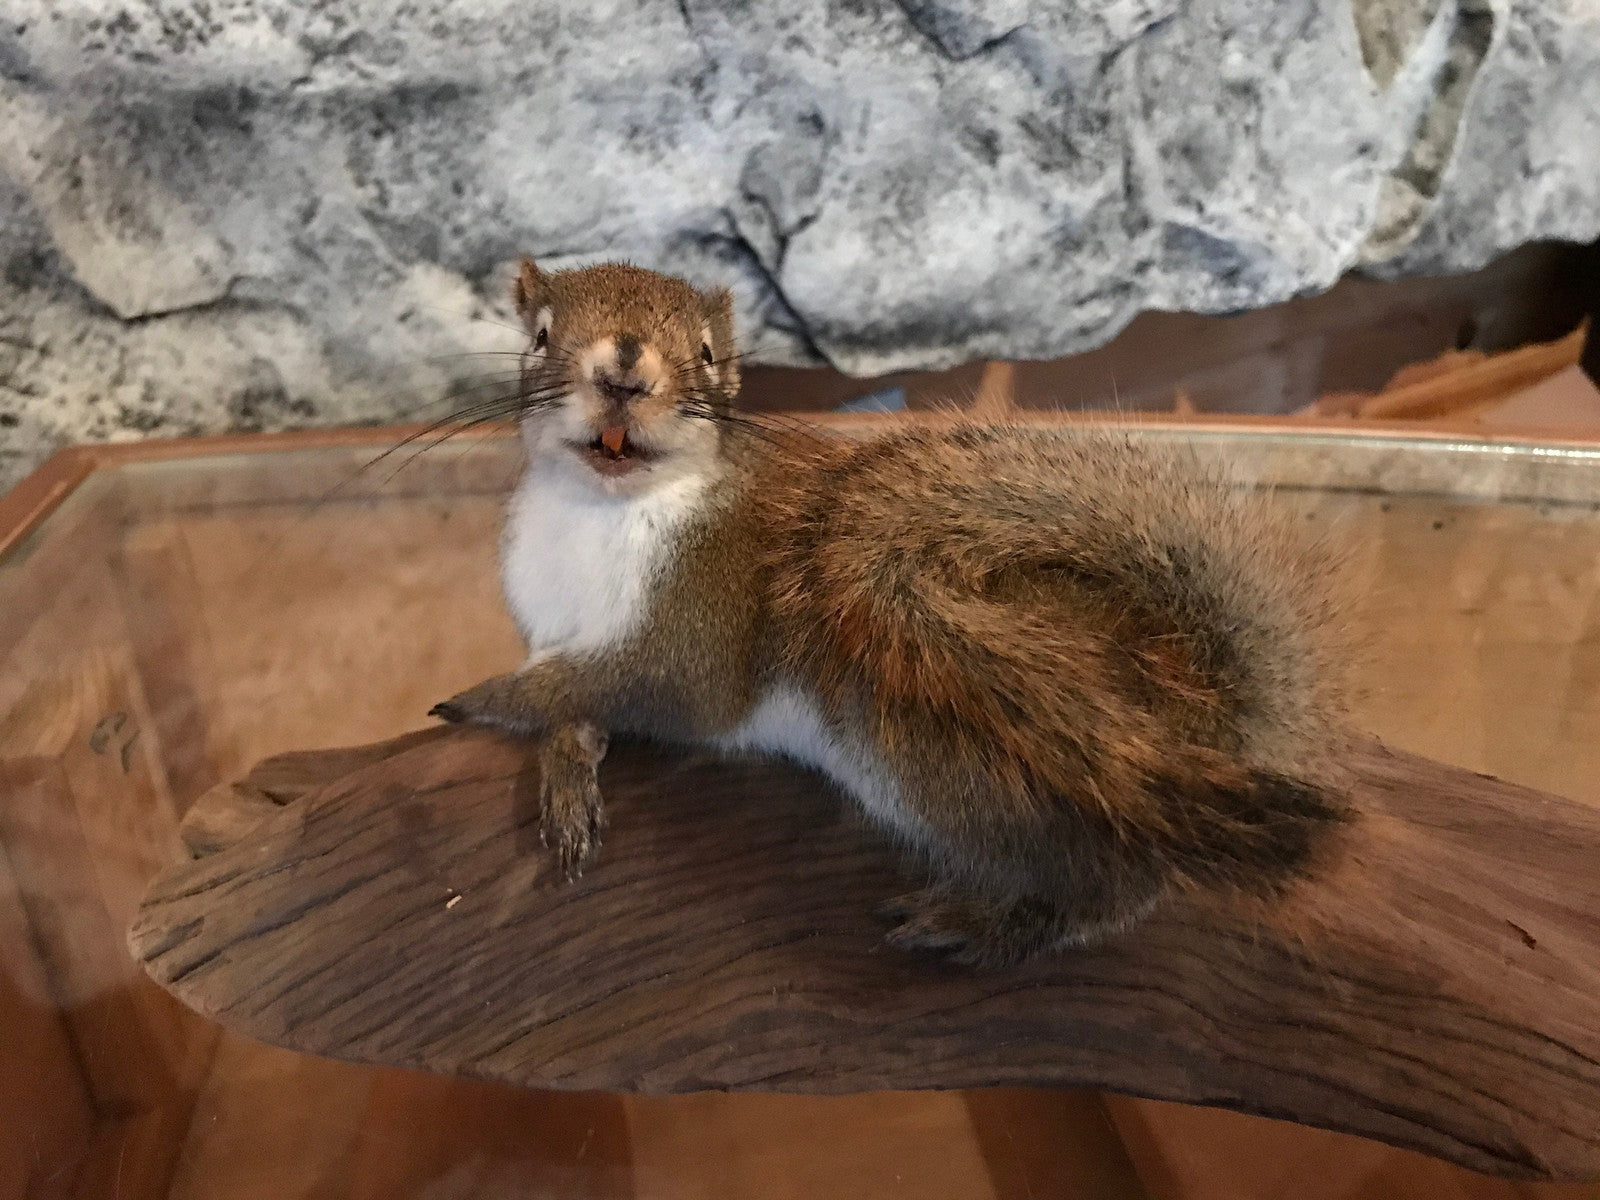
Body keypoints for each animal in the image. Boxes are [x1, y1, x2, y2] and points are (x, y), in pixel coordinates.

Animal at [431, 258, 1352, 968]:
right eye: (539, 336)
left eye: (707, 355)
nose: (623, 376)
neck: (600, 510)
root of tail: (1210, 710)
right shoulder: (556, 631)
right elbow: (578, 702)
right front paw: (565, 771)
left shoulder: (699, 627)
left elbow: (635, 686)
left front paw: (483, 698)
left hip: (965, 740)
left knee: (1119, 884)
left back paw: (993, 923)